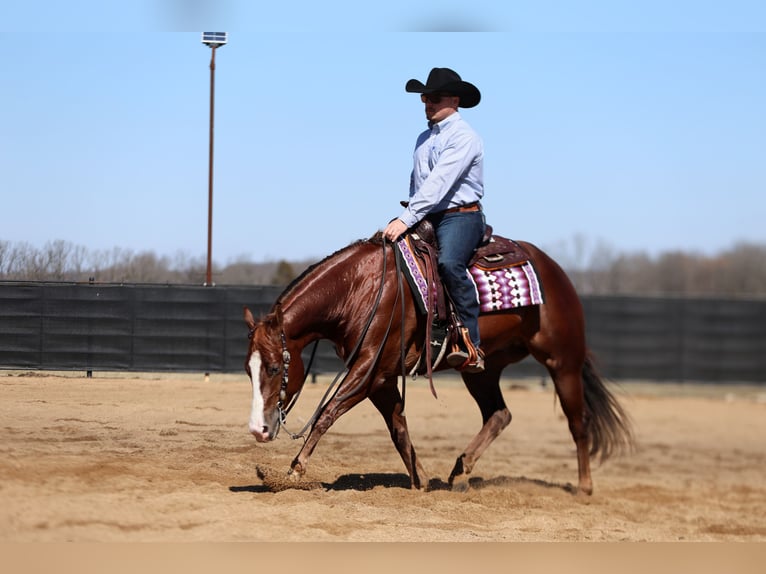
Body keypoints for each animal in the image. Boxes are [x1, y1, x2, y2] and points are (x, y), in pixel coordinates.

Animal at [246, 234, 636, 496]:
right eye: (249, 369)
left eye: (274, 368)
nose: (258, 430)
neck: (361, 288)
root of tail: (556, 272)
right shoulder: (382, 378)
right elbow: (398, 428)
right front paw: (419, 480)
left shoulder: (370, 370)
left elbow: (328, 412)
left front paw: (294, 470)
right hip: (482, 370)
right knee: (499, 414)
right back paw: (461, 470)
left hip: (563, 362)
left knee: (578, 422)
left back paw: (584, 487)